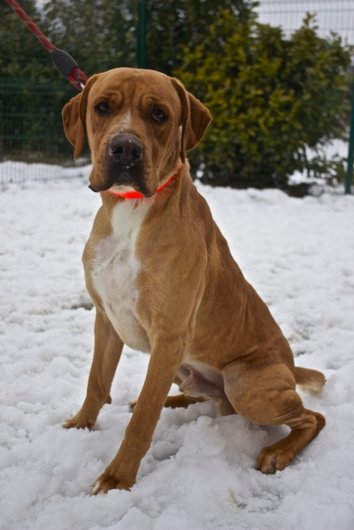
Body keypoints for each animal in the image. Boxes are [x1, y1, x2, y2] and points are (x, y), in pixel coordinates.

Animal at [61, 68, 326, 492]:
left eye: (159, 115)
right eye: (102, 107)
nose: (125, 149)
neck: (132, 211)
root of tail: (289, 367)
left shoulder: (168, 335)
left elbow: (142, 421)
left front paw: (118, 478)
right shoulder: (107, 318)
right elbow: (97, 382)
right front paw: (81, 426)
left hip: (242, 380)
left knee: (312, 417)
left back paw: (278, 453)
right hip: (184, 367)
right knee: (208, 401)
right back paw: (176, 401)